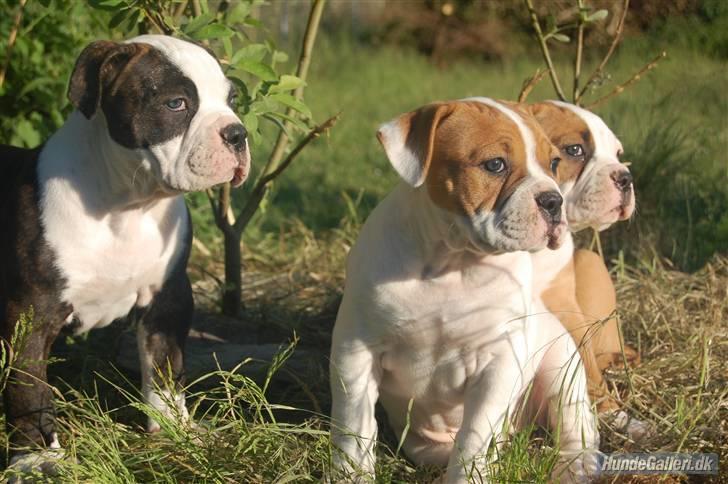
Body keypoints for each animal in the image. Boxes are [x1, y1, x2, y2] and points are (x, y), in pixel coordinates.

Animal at [0, 36, 250, 470]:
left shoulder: (168, 299)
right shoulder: (29, 314)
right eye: (176, 104)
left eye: (231, 98)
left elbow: (165, 366)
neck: (129, 206)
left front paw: (175, 431)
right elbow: (28, 389)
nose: (238, 134)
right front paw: (36, 459)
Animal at [332, 96, 600, 482]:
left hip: (562, 370)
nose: (553, 201)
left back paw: (575, 466)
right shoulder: (356, 351)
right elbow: (354, 428)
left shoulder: (498, 361)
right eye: (495, 165)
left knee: (576, 426)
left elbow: (473, 436)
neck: (451, 263)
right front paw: (351, 474)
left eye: (553, 163)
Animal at [528, 101, 644, 438]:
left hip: (590, 261)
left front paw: (617, 416)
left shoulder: (566, 310)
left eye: (618, 154)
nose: (626, 177)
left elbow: (588, 369)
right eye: (574, 149)